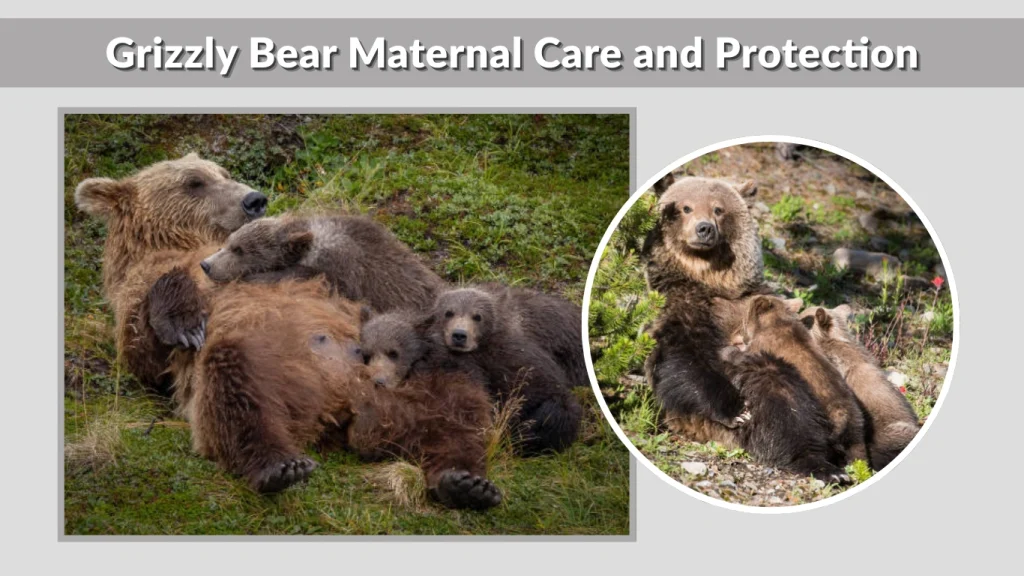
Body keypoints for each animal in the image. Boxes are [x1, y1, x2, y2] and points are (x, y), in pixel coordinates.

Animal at [642, 174, 766, 447]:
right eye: (686, 208)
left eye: (718, 209)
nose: (705, 228)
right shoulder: (680, 303)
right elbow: (684, 358)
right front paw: (737, 410)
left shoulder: (752, 297)